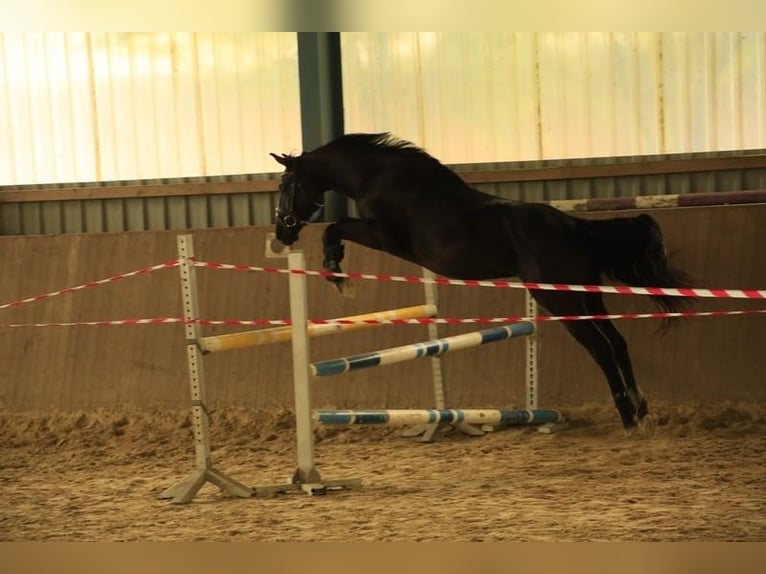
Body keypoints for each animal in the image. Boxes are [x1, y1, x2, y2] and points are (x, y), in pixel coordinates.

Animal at [272, 134, 696, 432]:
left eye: (285, 186)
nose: (282, 232)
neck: (378, 177)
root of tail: (575, 226)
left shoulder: (384, 236)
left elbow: (336, 229)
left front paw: (336, 274)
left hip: (557, 299)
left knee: (601, 347)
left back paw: (628, 416)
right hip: (586, 297)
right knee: (617, 342)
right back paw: (641, 408)